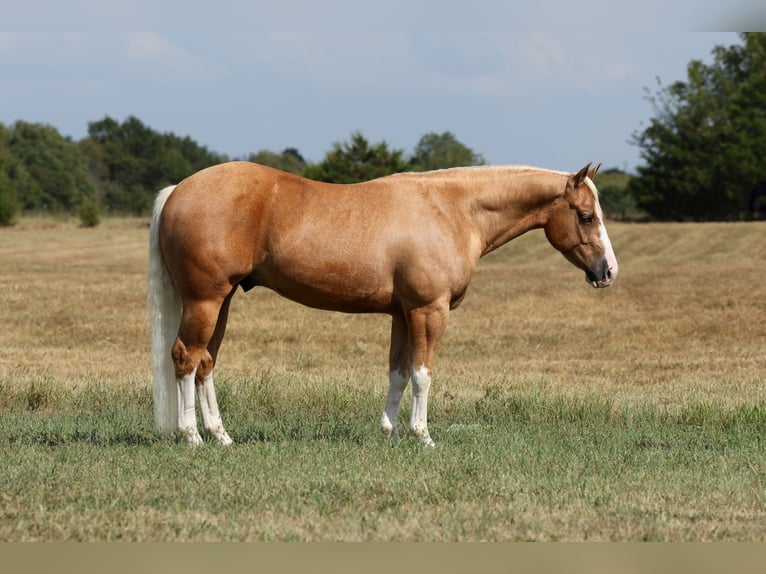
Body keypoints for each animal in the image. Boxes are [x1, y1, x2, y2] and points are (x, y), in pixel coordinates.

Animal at [147, 161, 618, 447]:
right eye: (586, 216)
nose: (608, 271)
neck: (451, 209)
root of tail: (178, 189)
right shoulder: (429, 310)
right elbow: (423, 374)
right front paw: (422, 435)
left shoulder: (402, 314)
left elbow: (398, 373)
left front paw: (390, 432)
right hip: (205, 300)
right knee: (186, 357)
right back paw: (191, 436)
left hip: (222, 301)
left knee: (206, 363)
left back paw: (220, 435)